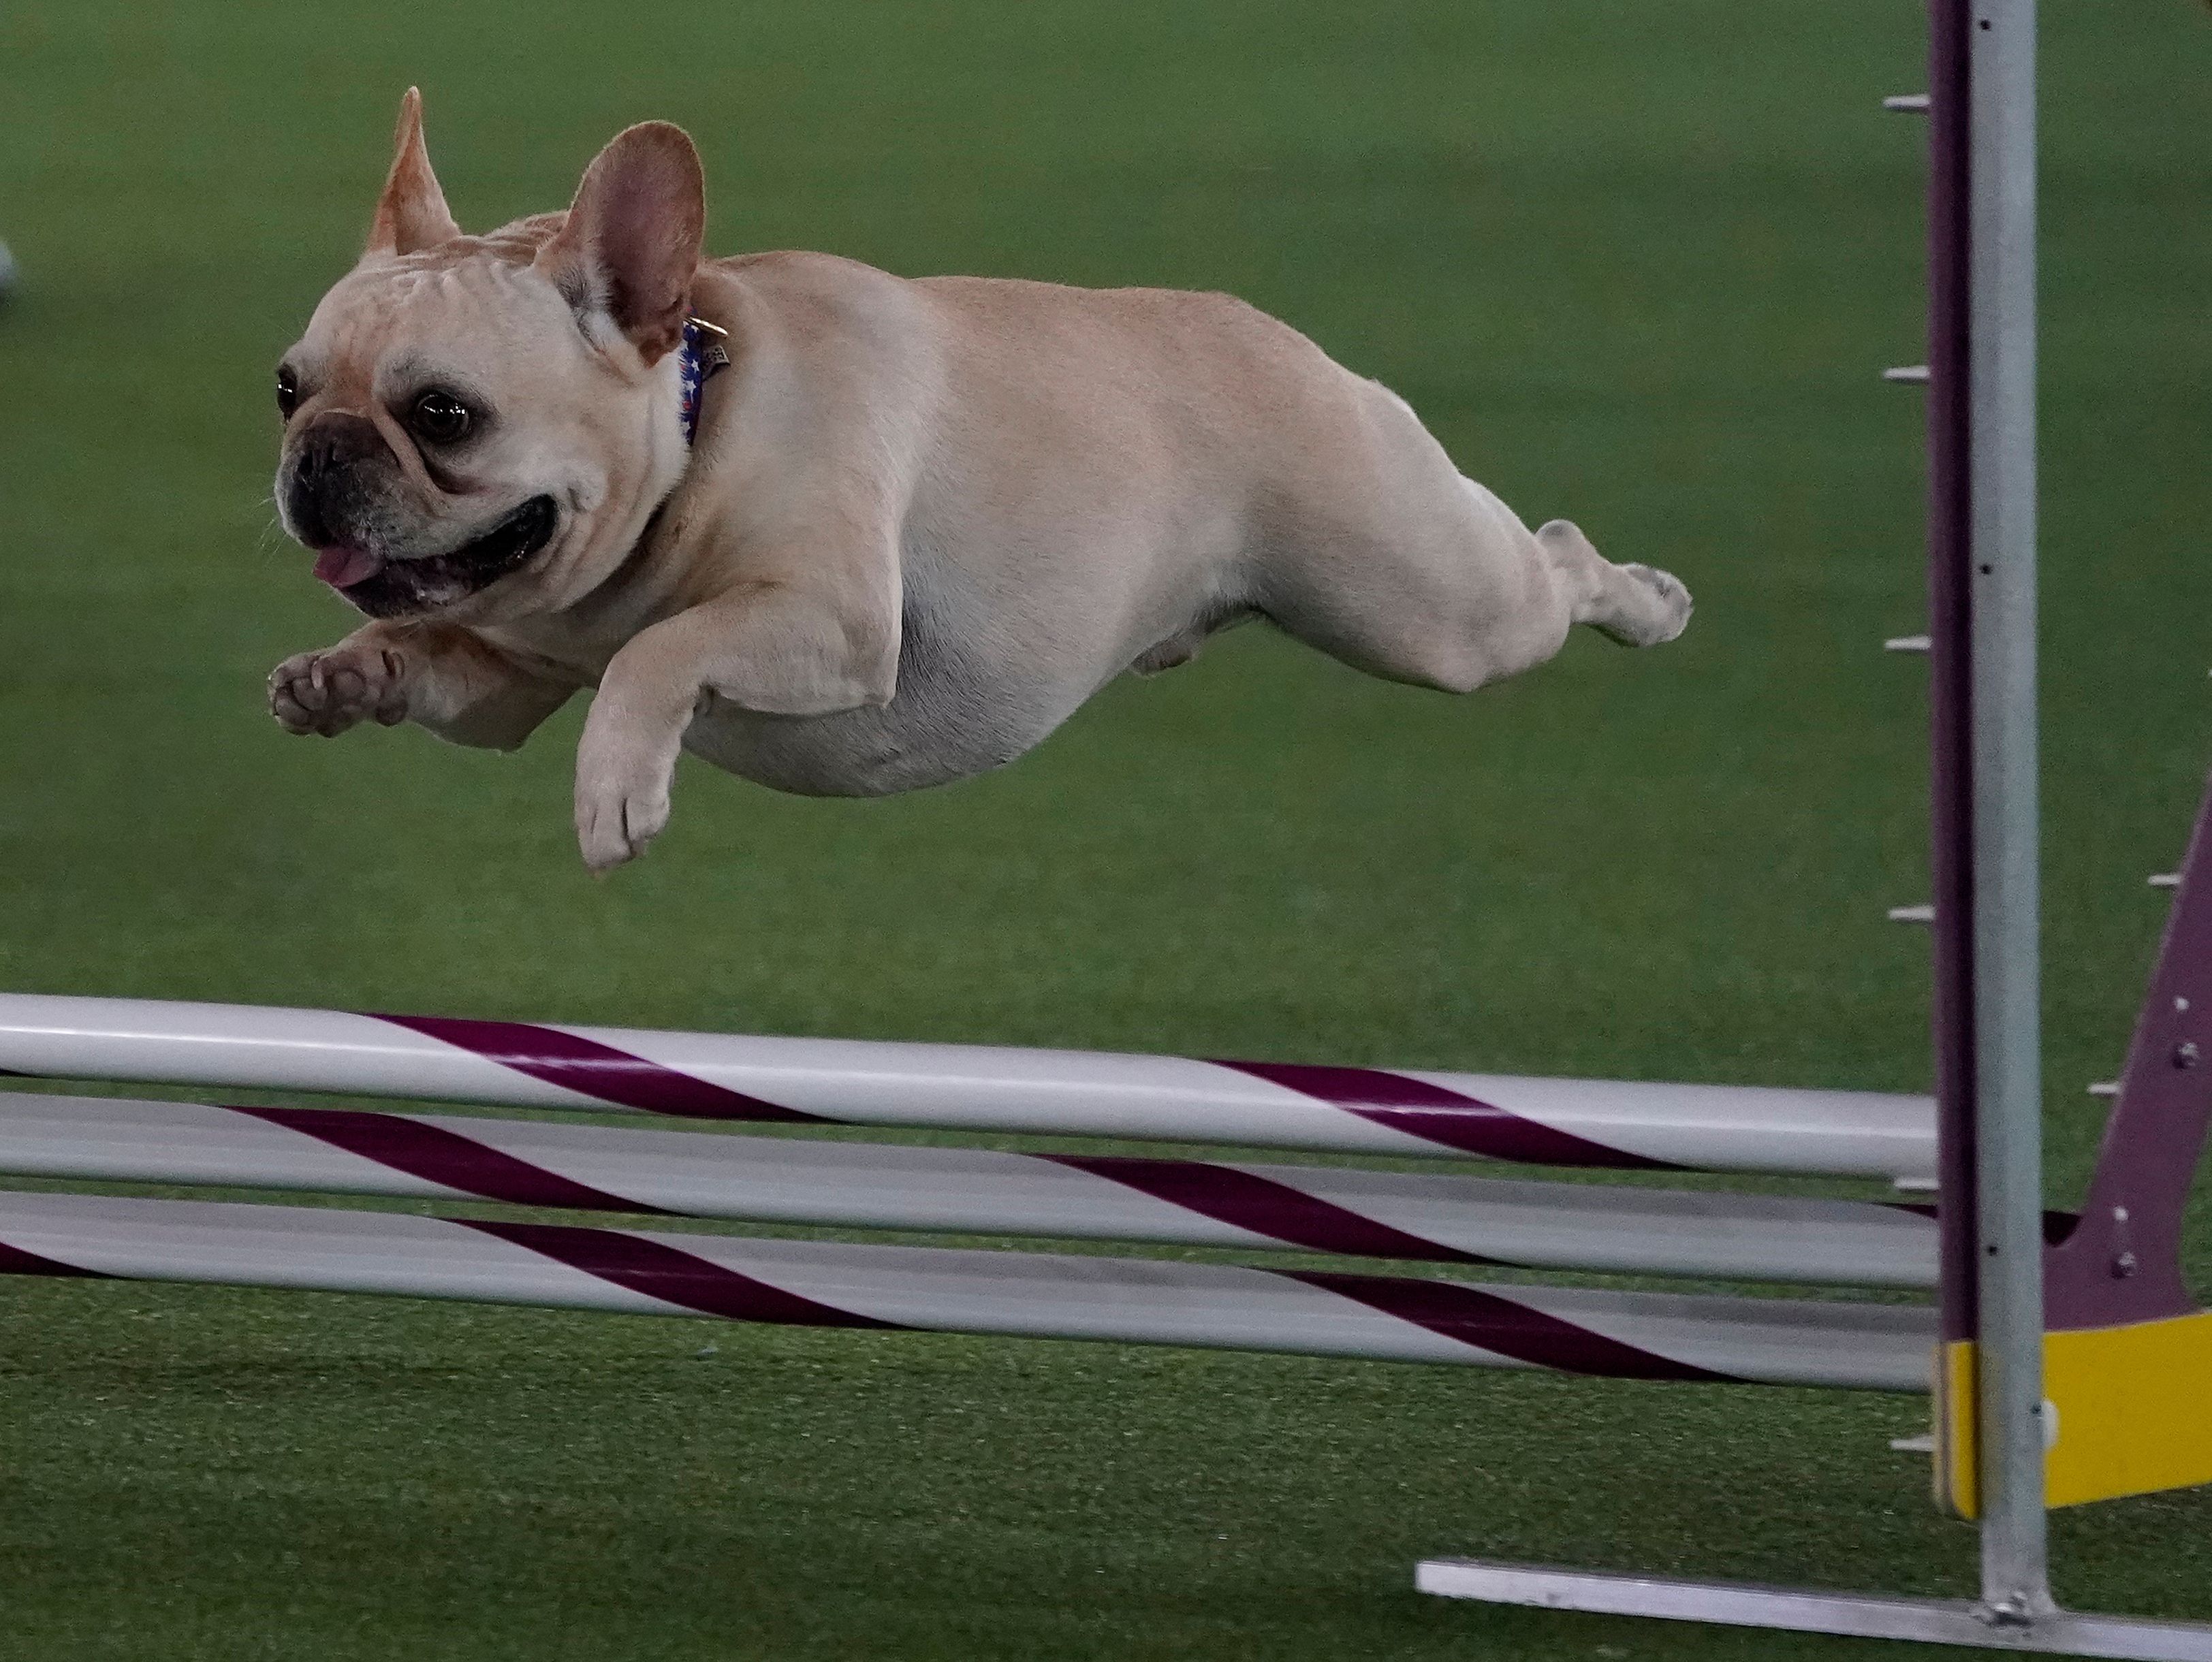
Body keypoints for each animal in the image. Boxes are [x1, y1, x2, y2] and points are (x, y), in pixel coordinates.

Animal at [276, 91, 1690, 870]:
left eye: (443, 415)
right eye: (288, 390)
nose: (317, 454)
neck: (693, 431)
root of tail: (1281, 339)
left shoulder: (833, 622)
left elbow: (658, 654)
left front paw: (615, 788)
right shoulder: (512, 679)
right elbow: (445, 667)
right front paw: (342, 678)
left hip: (1427, 608)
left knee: (1547, 564)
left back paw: (1644, 599)